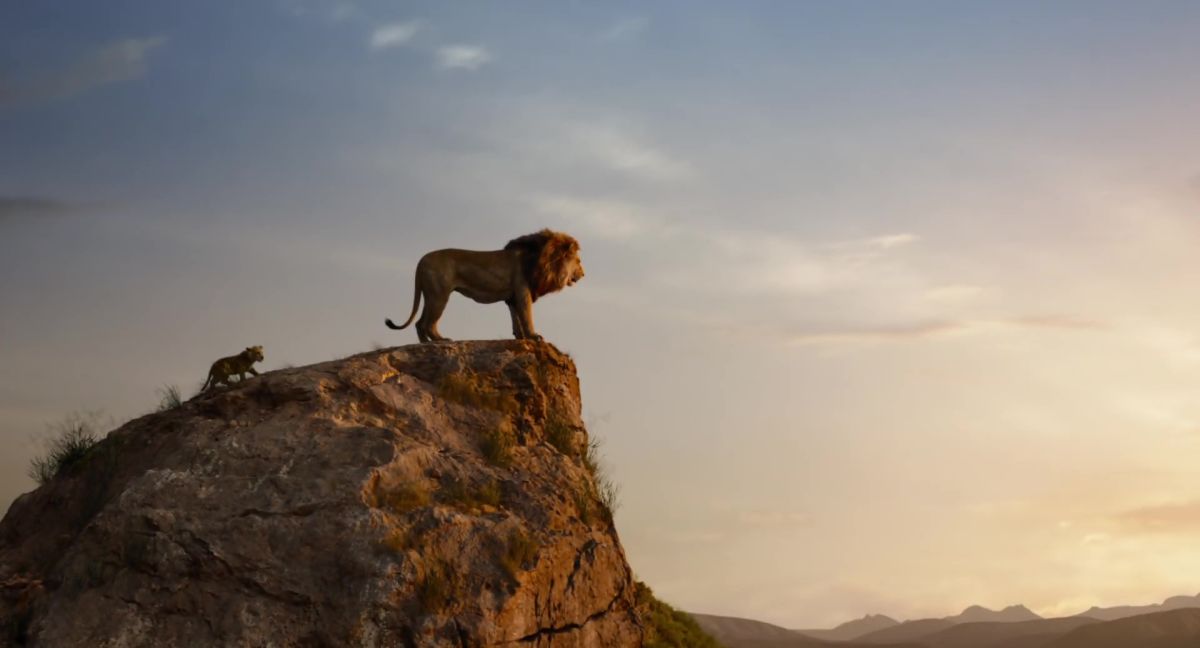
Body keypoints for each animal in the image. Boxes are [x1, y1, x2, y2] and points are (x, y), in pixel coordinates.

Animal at [385, 229, 585, 343]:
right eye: (578, 261)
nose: (583, 274)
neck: (545, 259)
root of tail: (421, 261)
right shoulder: (523, 292)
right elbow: (527, 317)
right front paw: (534, 336)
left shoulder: (513, 297)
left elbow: (516, 319)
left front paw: (520, 337)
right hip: (440, 295)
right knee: (428, 323)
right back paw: (441, 340)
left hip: (431, 294)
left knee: (419, 323)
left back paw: (426, 344)